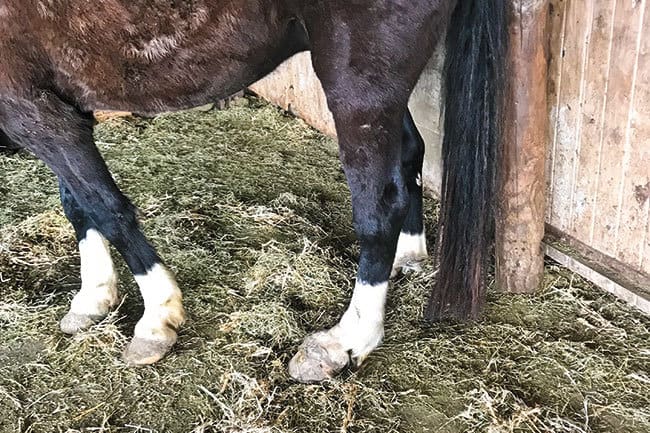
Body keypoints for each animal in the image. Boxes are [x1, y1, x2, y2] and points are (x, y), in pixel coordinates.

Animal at [0, 0, 507, 383]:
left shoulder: (32, 110)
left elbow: (107, 209)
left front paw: (157, 317)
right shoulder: (57, 107)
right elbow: (78, 203)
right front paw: (94, 296)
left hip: (360, 83)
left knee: (380, 207)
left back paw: (346, 341)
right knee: (408, 157)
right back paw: (409, 254)